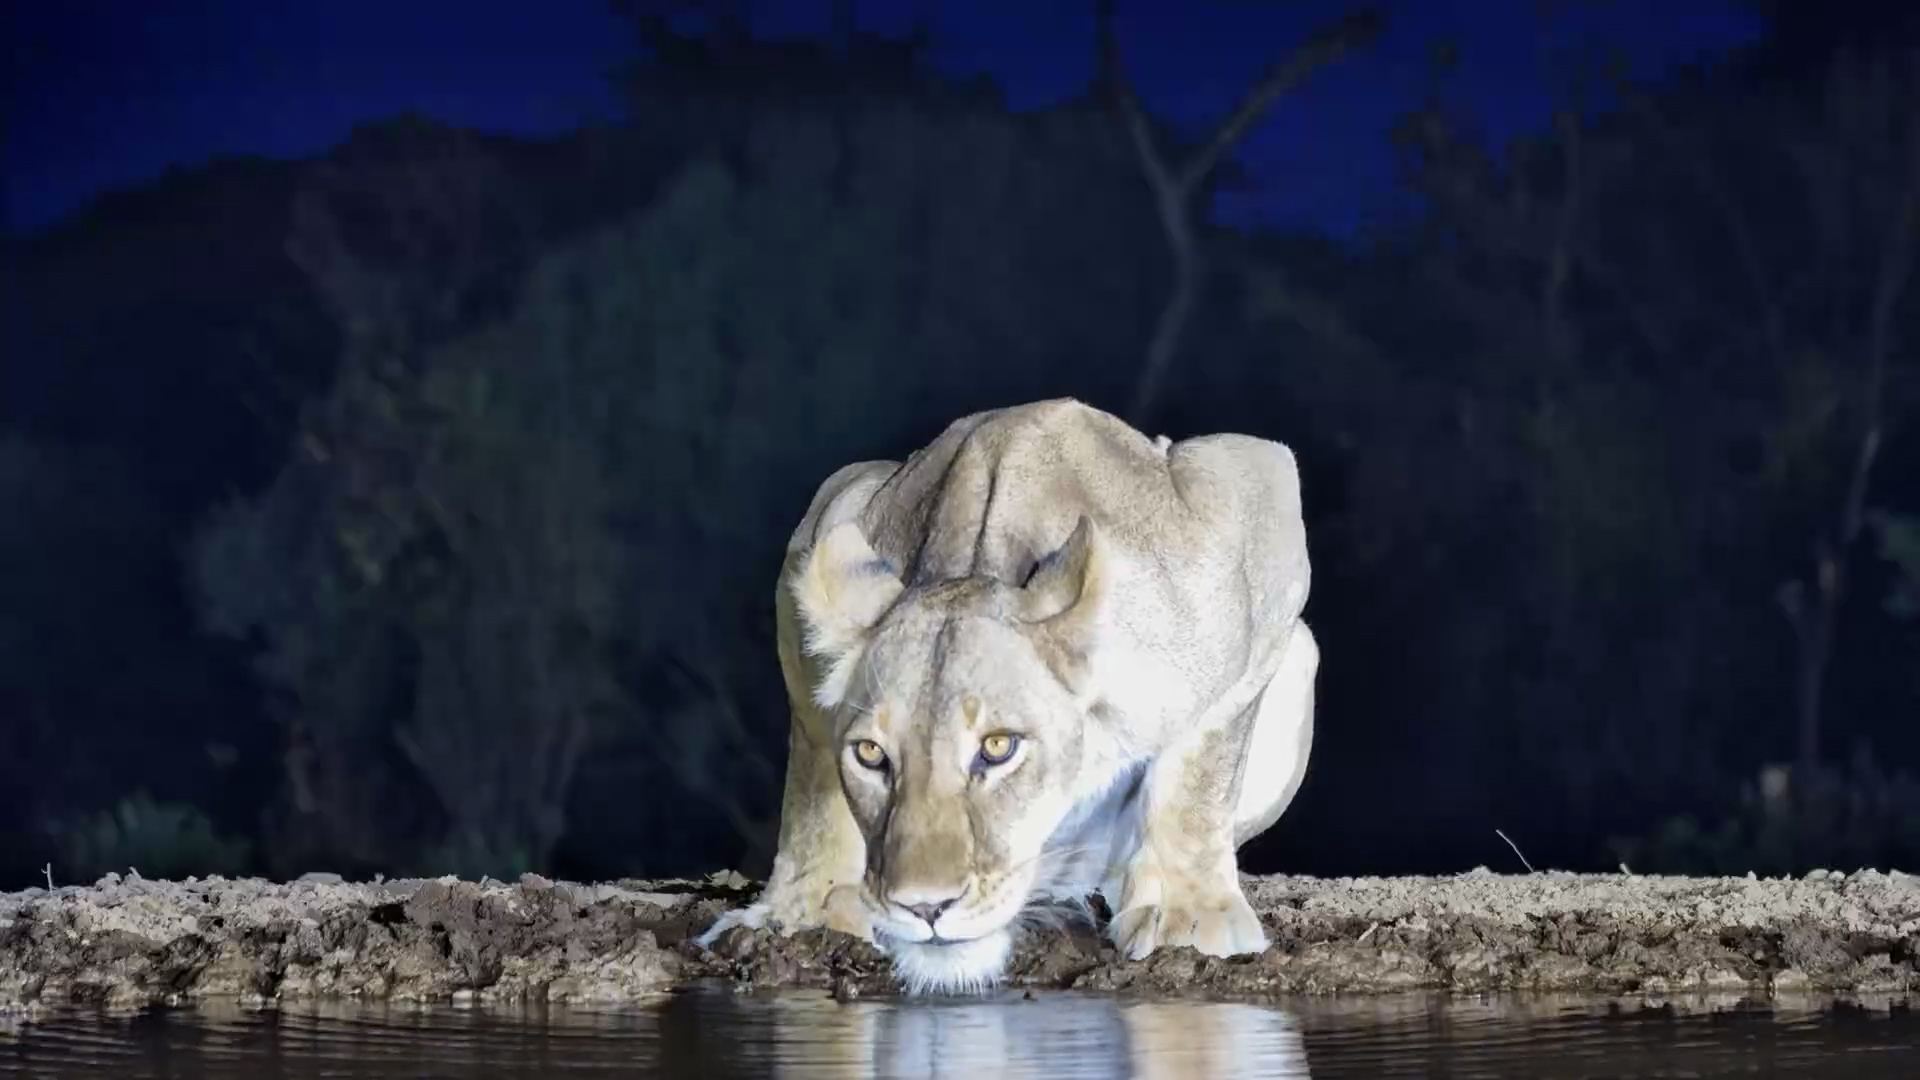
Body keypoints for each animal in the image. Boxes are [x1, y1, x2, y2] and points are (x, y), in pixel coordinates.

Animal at [697, 398, 1318, 994]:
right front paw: (798, 912)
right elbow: (812, 786)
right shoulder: (828, 518)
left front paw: (1190, 913)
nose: (925, 906)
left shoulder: (1250, 488)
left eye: (999, 747)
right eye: (871, 755)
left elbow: (1203, 769)